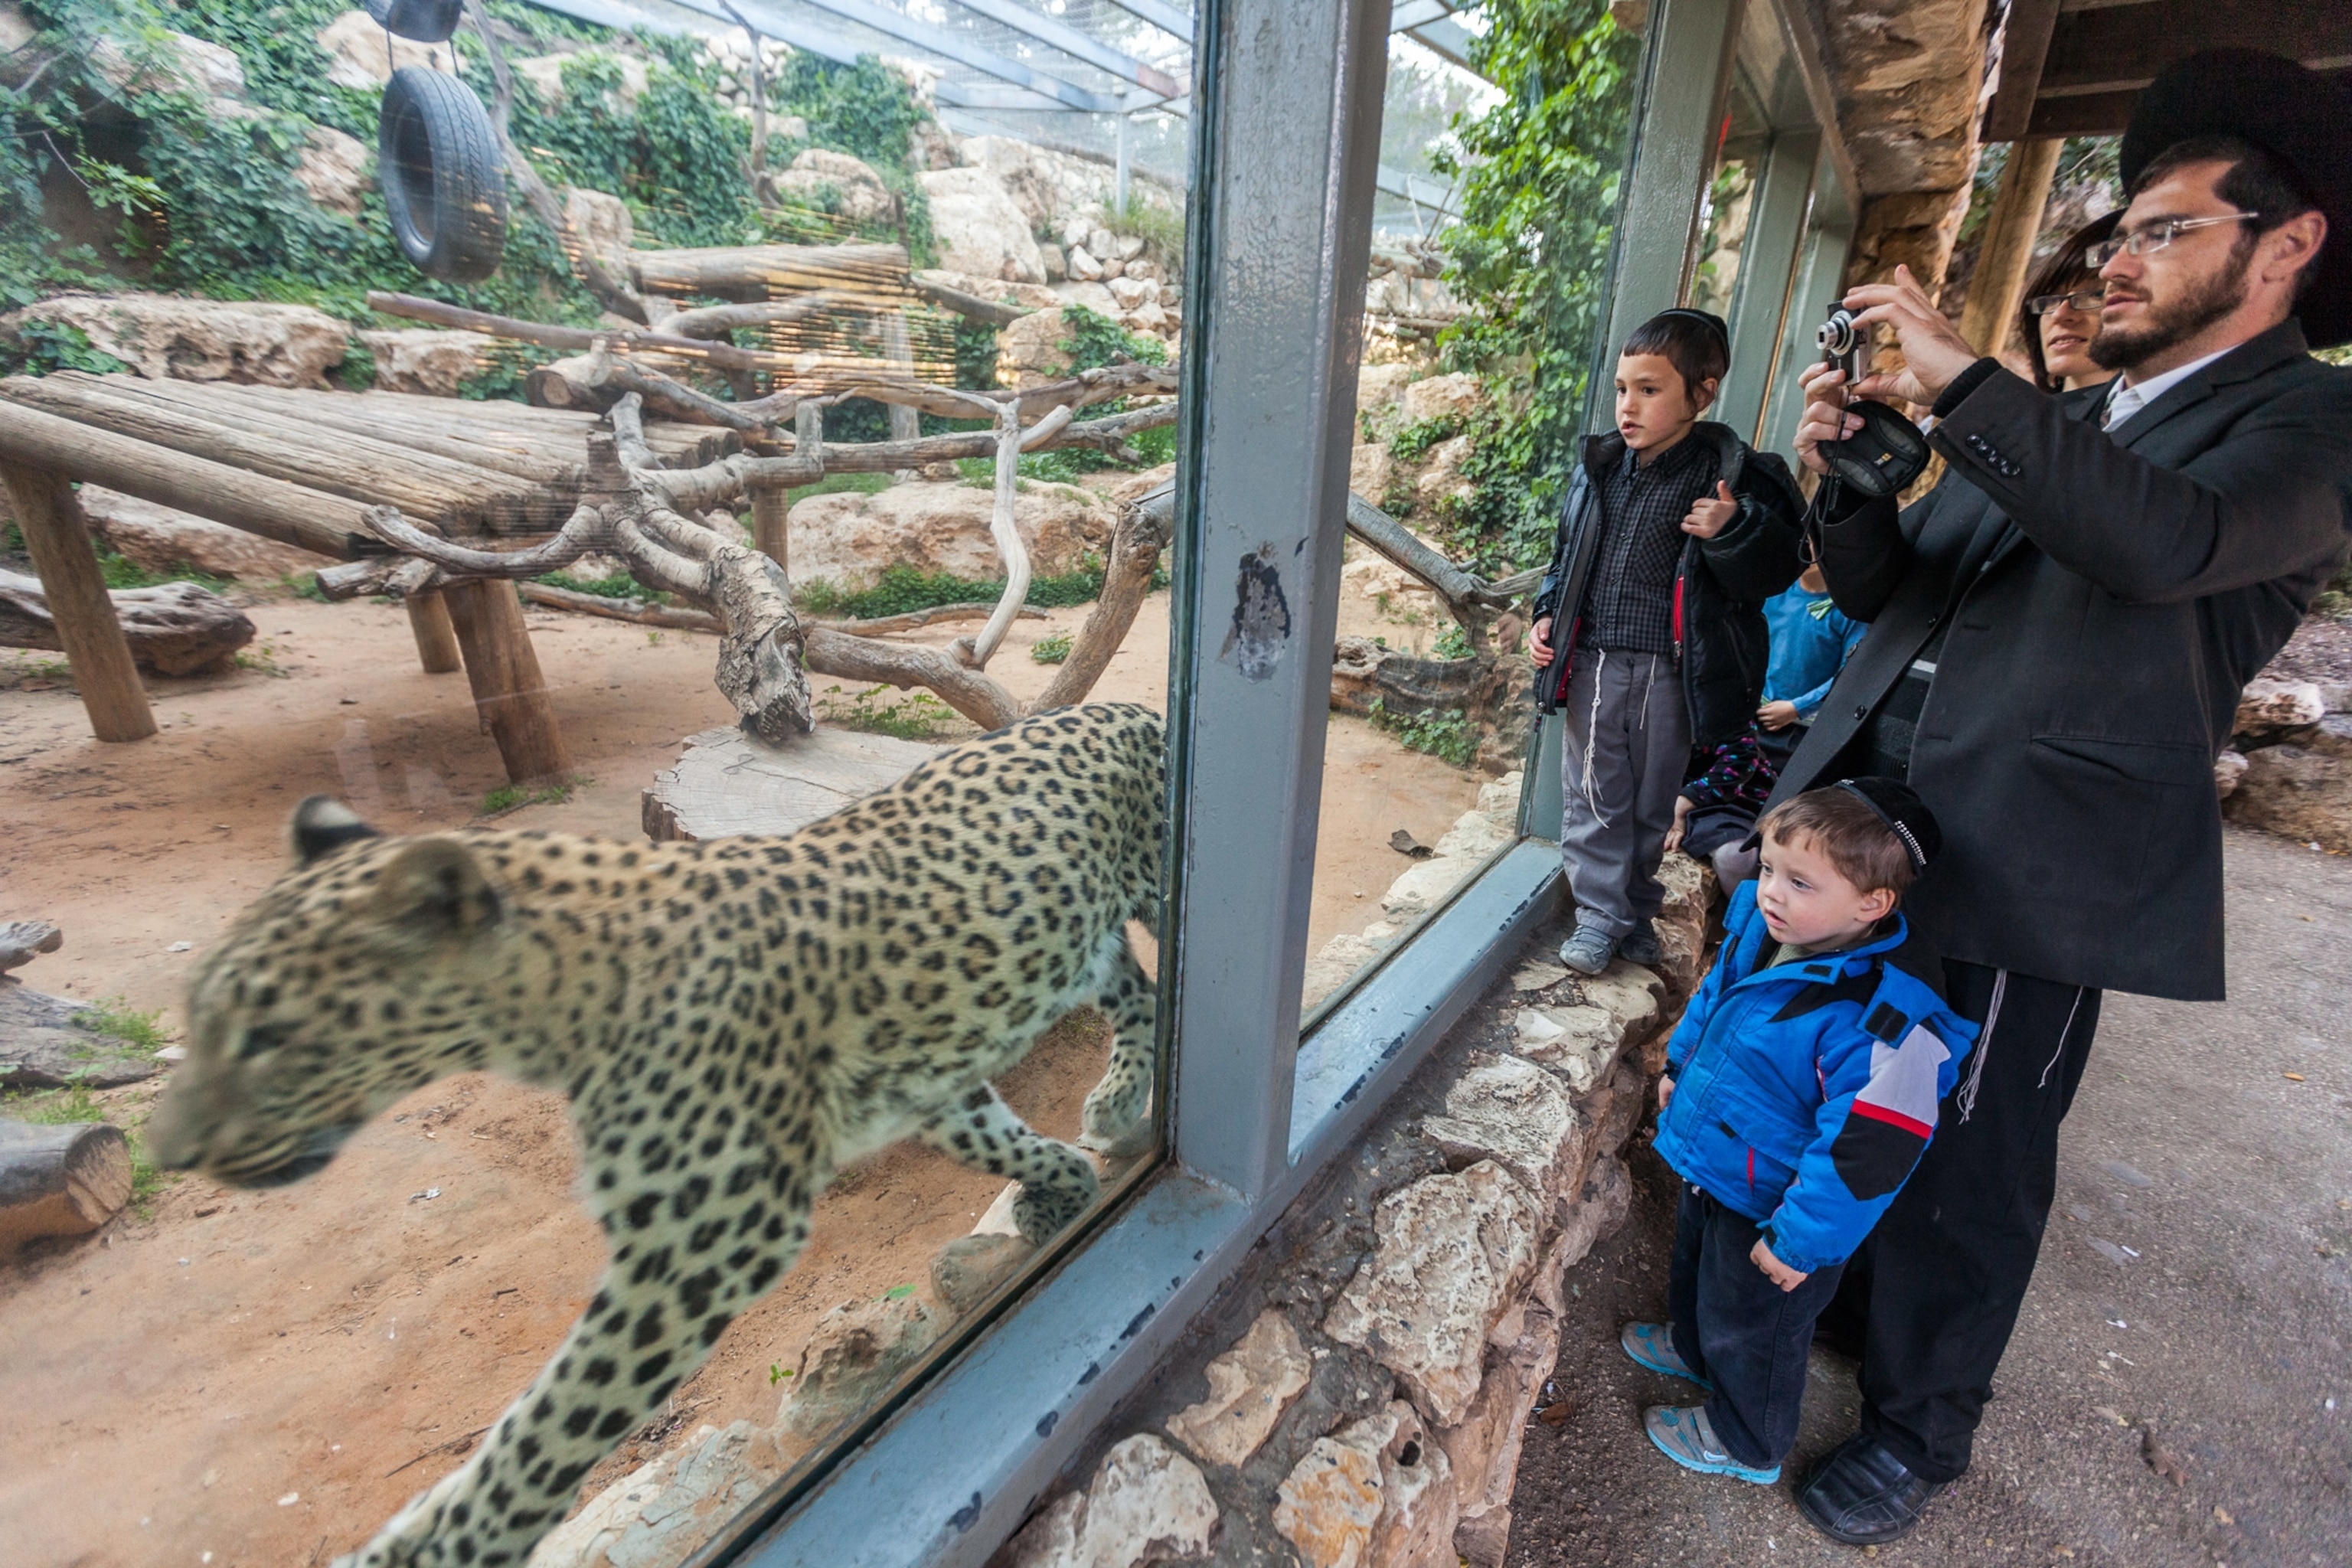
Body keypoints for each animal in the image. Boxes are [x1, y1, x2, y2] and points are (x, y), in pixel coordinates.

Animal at [145, 702, 1166, 1568]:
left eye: (269, 1035)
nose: (167, 1149)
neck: (553, 1003)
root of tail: (1124, 708)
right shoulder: (925, 1083)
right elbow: (994, 1132)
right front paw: (1061, 1185)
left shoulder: (703, 1242)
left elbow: (547, 1427)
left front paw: (431, 1550)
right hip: (1082, 942)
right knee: (1138, 988)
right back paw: (1115, 1108)